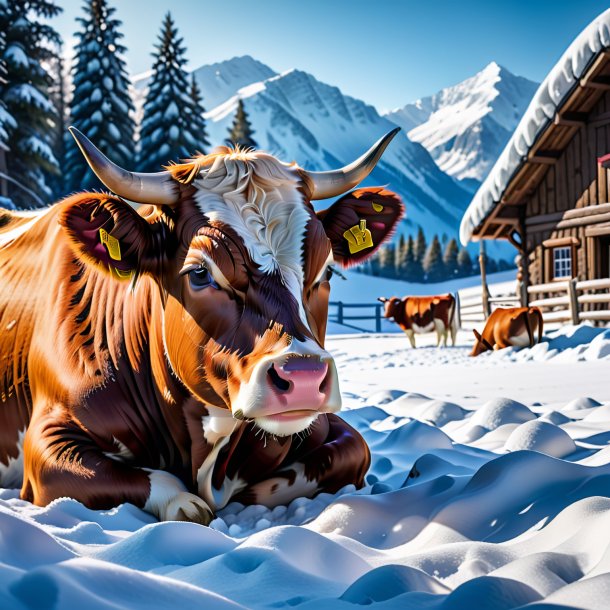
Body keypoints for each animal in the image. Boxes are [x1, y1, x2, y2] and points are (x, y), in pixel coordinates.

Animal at [0, 126, 404, 520]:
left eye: (327, 271)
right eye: (199, 273)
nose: (303, 378)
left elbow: (352, 450)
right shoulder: (47, 443)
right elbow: (177, 498)